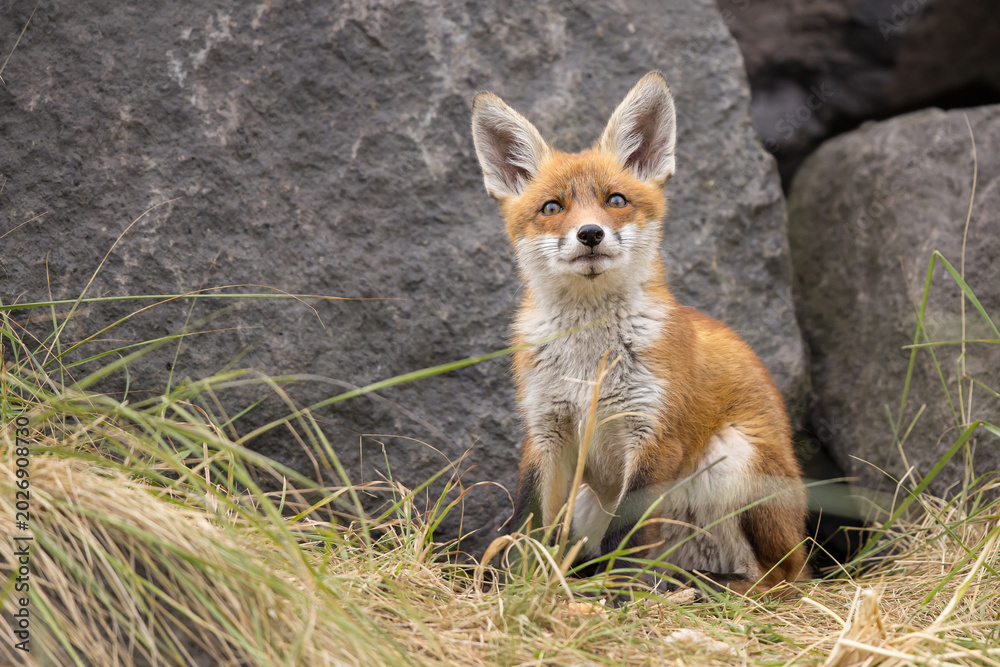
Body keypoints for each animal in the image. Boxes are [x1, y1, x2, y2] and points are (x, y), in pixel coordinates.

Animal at [470, 72, 809, 596]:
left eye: (615, 201)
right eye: (552, 207)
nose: (590, 233)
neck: (589, 364)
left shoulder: (653, 431)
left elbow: (623, 538)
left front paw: (610, 595)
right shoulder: (545, 428)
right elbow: (525, 524)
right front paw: (515, 586)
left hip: (736, 459)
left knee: (775, 580)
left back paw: (696, 587)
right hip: (588, 498)